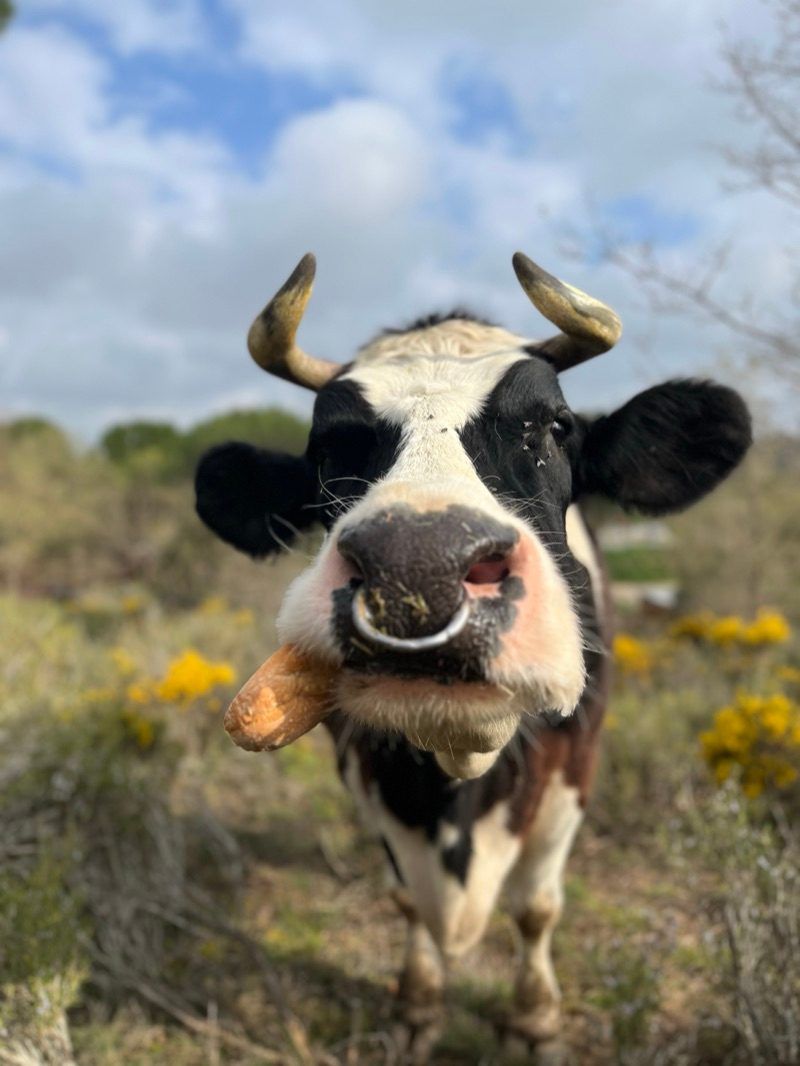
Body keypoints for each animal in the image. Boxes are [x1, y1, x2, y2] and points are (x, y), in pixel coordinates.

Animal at [195, 252, 751, 1056]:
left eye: (553, 426)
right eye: (328, 449)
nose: (417, 568)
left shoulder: (577, 763)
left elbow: (537, 907)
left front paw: (534, 1019)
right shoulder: (362, 769)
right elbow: (404, 900)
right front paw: (418, 1005)